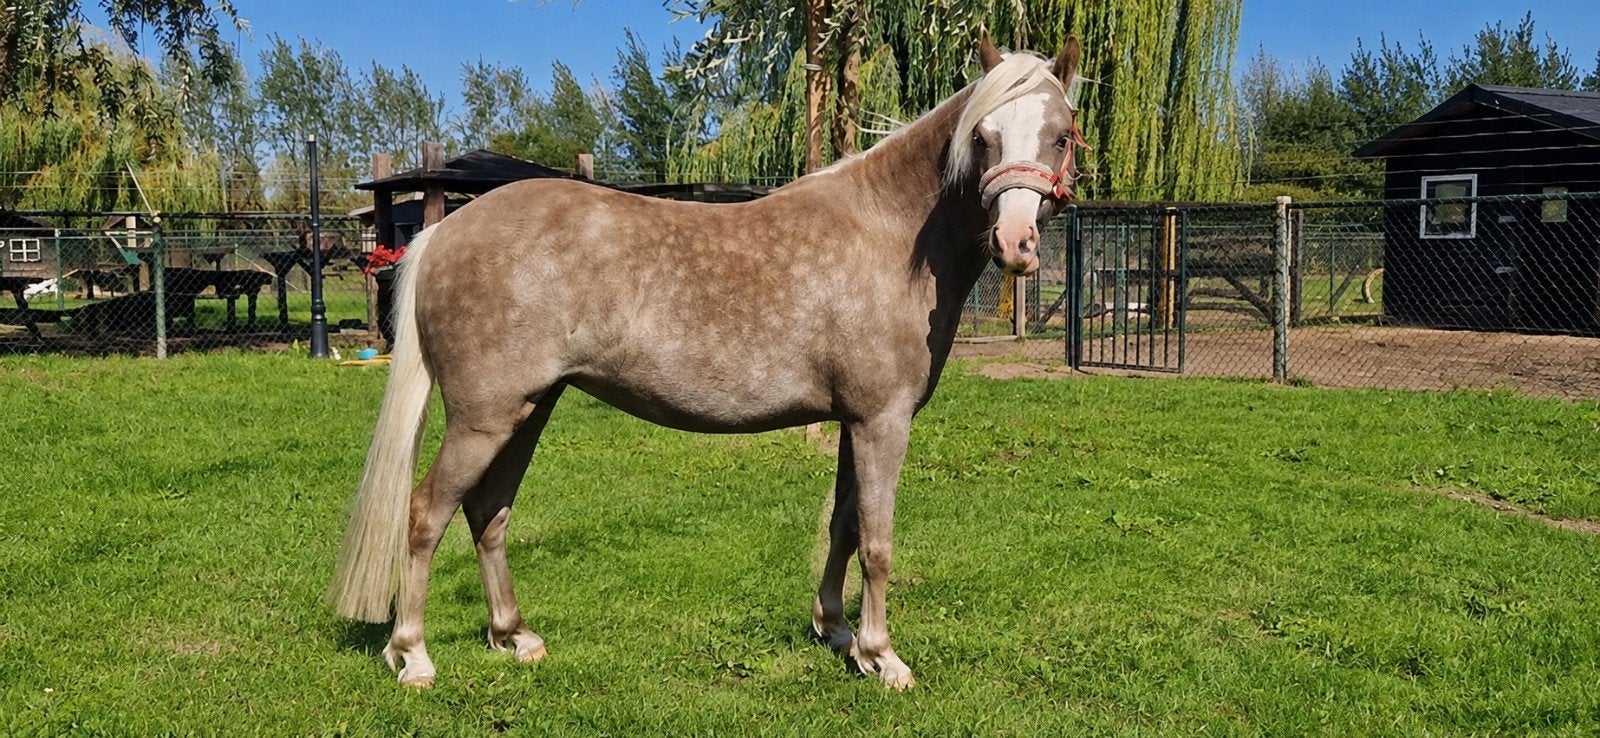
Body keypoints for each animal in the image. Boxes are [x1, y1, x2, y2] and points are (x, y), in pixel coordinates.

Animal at [330, 32, 1087, 691]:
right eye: (983, 137)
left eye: (1061, 133)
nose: (1016, 243)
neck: (890, 234)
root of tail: (443, 231)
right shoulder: (883, 421)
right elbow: (877, 541)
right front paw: (884, 657)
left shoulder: (854, 421)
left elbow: (843, 525)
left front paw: (838, 634)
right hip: (483, 419)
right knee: (426, 512)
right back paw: (414, 655)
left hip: (527, 410)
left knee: (488, 510)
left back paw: (514, 636)